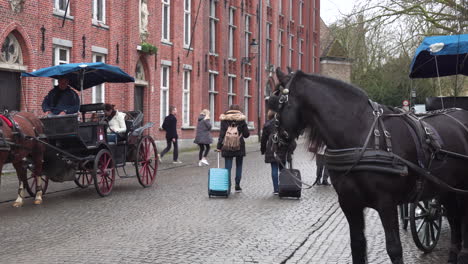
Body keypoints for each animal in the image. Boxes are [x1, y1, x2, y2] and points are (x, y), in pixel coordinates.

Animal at [268, 68, 468, 264]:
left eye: (275, 103)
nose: (275, 146)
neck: (362, 137)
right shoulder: (349, 203)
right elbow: (357, 246)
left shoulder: (386, 203)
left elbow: (394, 249)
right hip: (445, 190)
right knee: (455, 222)